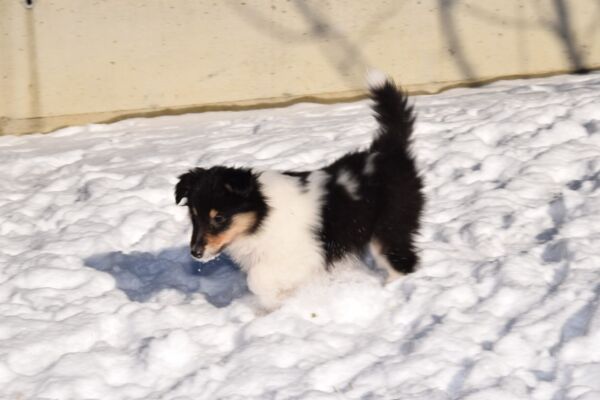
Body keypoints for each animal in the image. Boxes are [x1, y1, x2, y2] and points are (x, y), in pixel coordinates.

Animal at [175, 72, 424, 309]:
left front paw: (277, 302)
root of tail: (386, 152)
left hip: (389, 225)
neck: (262, 216)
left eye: (219, 218)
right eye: (193, 217)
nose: (195, 253)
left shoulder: (306, 255)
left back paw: (390, 288)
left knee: (403, 260)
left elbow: (257, 279)